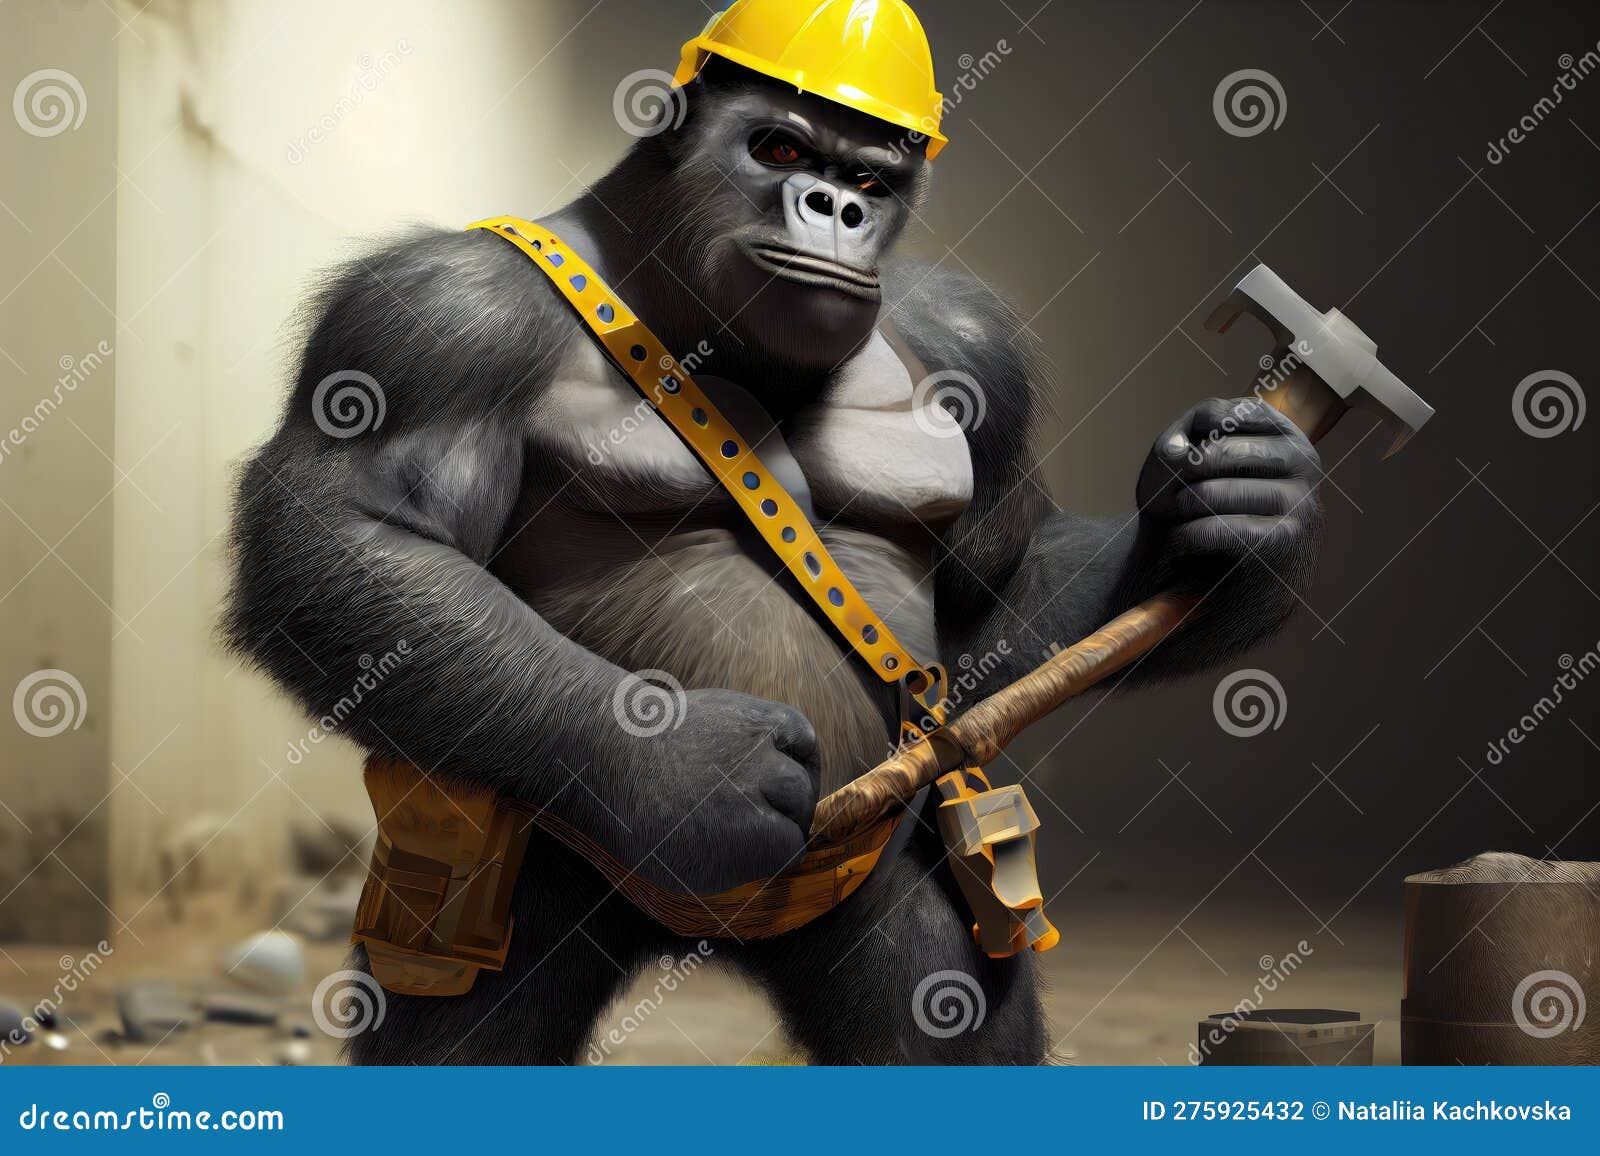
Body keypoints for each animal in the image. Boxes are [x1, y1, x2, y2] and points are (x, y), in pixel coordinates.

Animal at [223, 57, 1322, 1065]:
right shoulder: (436, 313)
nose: (835, 206)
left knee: (940, 1013)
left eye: (871, 177)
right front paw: (685, 765)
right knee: (466, 1038)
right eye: (780, 149)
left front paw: (1232, 512)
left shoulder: (977, 343)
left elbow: (989, 587)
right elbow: (347, 530)